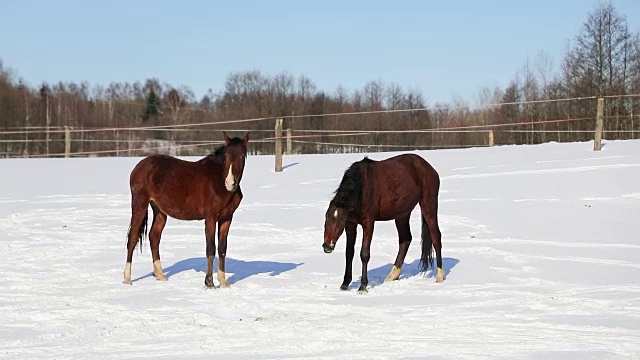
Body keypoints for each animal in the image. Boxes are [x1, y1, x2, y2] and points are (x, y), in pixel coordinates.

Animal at [122, 131, 250, 288]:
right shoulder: (211, 218)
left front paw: (224, 282)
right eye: (226, 156)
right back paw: (127, 278)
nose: (230, 183)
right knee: (133, 238)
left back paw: (160, 275)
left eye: (242, 156)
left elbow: (222, 249)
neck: (218, 182)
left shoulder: (226, 218)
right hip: (140, 204)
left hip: (160, 211)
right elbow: (211, 249)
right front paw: (209, 283)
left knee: (154, 237)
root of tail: (139, 167)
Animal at [322, 153, 442, 292]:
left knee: (436, 236)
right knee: (405, 239)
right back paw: (392, 275)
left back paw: (440, 275)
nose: (327, 246)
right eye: (326, 217)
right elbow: (349, 253)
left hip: (428, 204)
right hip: (402, 214)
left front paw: (363, 286)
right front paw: (345, 283)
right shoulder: (351, 224)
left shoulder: (368, 223)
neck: (362, 186)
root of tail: (429, 168)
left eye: (341, 219)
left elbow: (364, 253)